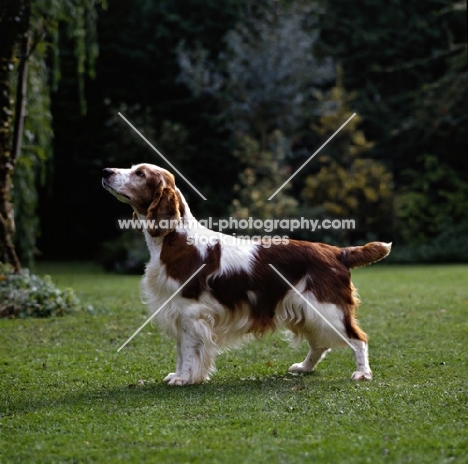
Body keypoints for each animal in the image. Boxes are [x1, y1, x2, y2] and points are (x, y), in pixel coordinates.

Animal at [103, 162, 392, 384]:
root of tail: (337, 253)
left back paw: (362, 373)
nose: (106, 171)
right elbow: (180, 351)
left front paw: (183, 378)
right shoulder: (176, 311)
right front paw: (179, 374)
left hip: (327, 307)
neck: (176, 240)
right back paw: (302, 368)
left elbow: (187, 350)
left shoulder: (190, 311)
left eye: (140, 174)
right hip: (307, 310)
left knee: (358, 339)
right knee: (320, 343)